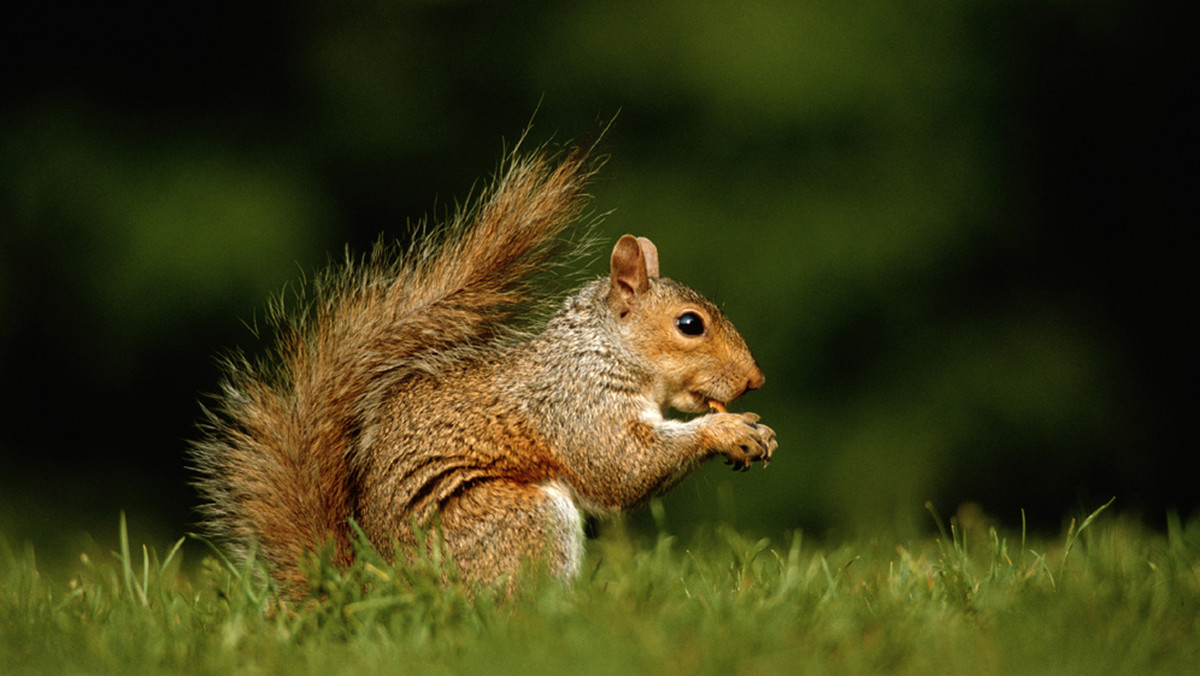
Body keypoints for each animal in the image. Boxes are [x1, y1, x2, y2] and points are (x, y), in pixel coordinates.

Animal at [189, 144, 777, 593]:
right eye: (689, 324)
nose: (756, 381)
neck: (600, 349)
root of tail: (381, 590)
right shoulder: (574, 404)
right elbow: (621, 466)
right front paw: (726, 431)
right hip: (514, 519)